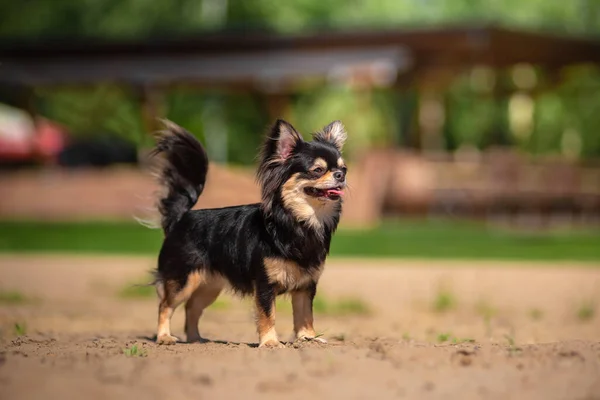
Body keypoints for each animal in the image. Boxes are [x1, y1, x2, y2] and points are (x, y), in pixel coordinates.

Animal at [149, 119, 346, 346]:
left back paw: (196, 340)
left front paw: (308, 338)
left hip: (209, 286)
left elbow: (305, 315)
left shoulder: (306, 287)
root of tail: (181, 218)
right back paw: (164, 337)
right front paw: (270, 342)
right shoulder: (264, 285)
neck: (300, 223)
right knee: (165, 306)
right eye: (317, 170)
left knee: (192, 307)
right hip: (183, 280)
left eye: (343, 168)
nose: (341, 175)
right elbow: (268, 315)